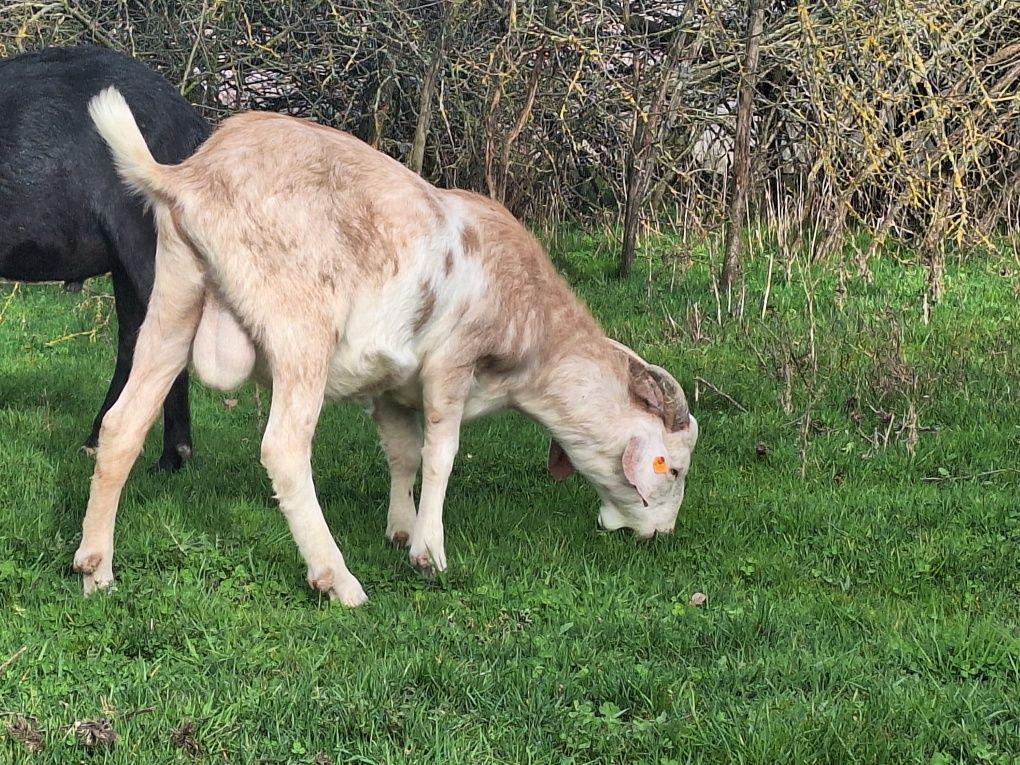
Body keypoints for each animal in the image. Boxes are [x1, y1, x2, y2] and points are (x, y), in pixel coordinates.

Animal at [77, 88, 701, 603]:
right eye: (670, 468)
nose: (663, 534)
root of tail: (188, 178)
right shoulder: (453, 362)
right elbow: (440, 452)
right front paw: (430, 552)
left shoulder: (392, 386)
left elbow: (402, 453)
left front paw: (401, 529)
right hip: (301, 326)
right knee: (283, 448)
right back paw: (337, 579)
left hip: (173, 300)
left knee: (122, 424)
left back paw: (95, 568)